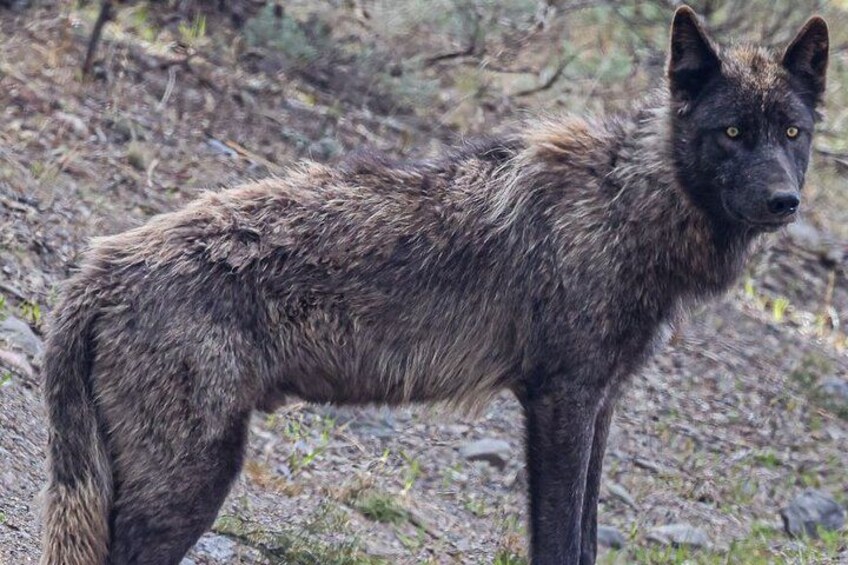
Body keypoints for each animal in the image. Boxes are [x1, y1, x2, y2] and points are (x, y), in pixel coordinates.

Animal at [40, 6, 828, 565]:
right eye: (732, 133)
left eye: (791, 132)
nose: (784, 203)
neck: (626, 203)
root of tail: (98, 268)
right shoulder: (560, 403)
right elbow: (558, 542)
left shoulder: (600, 406)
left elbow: (588, 536)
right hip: (188, 485)